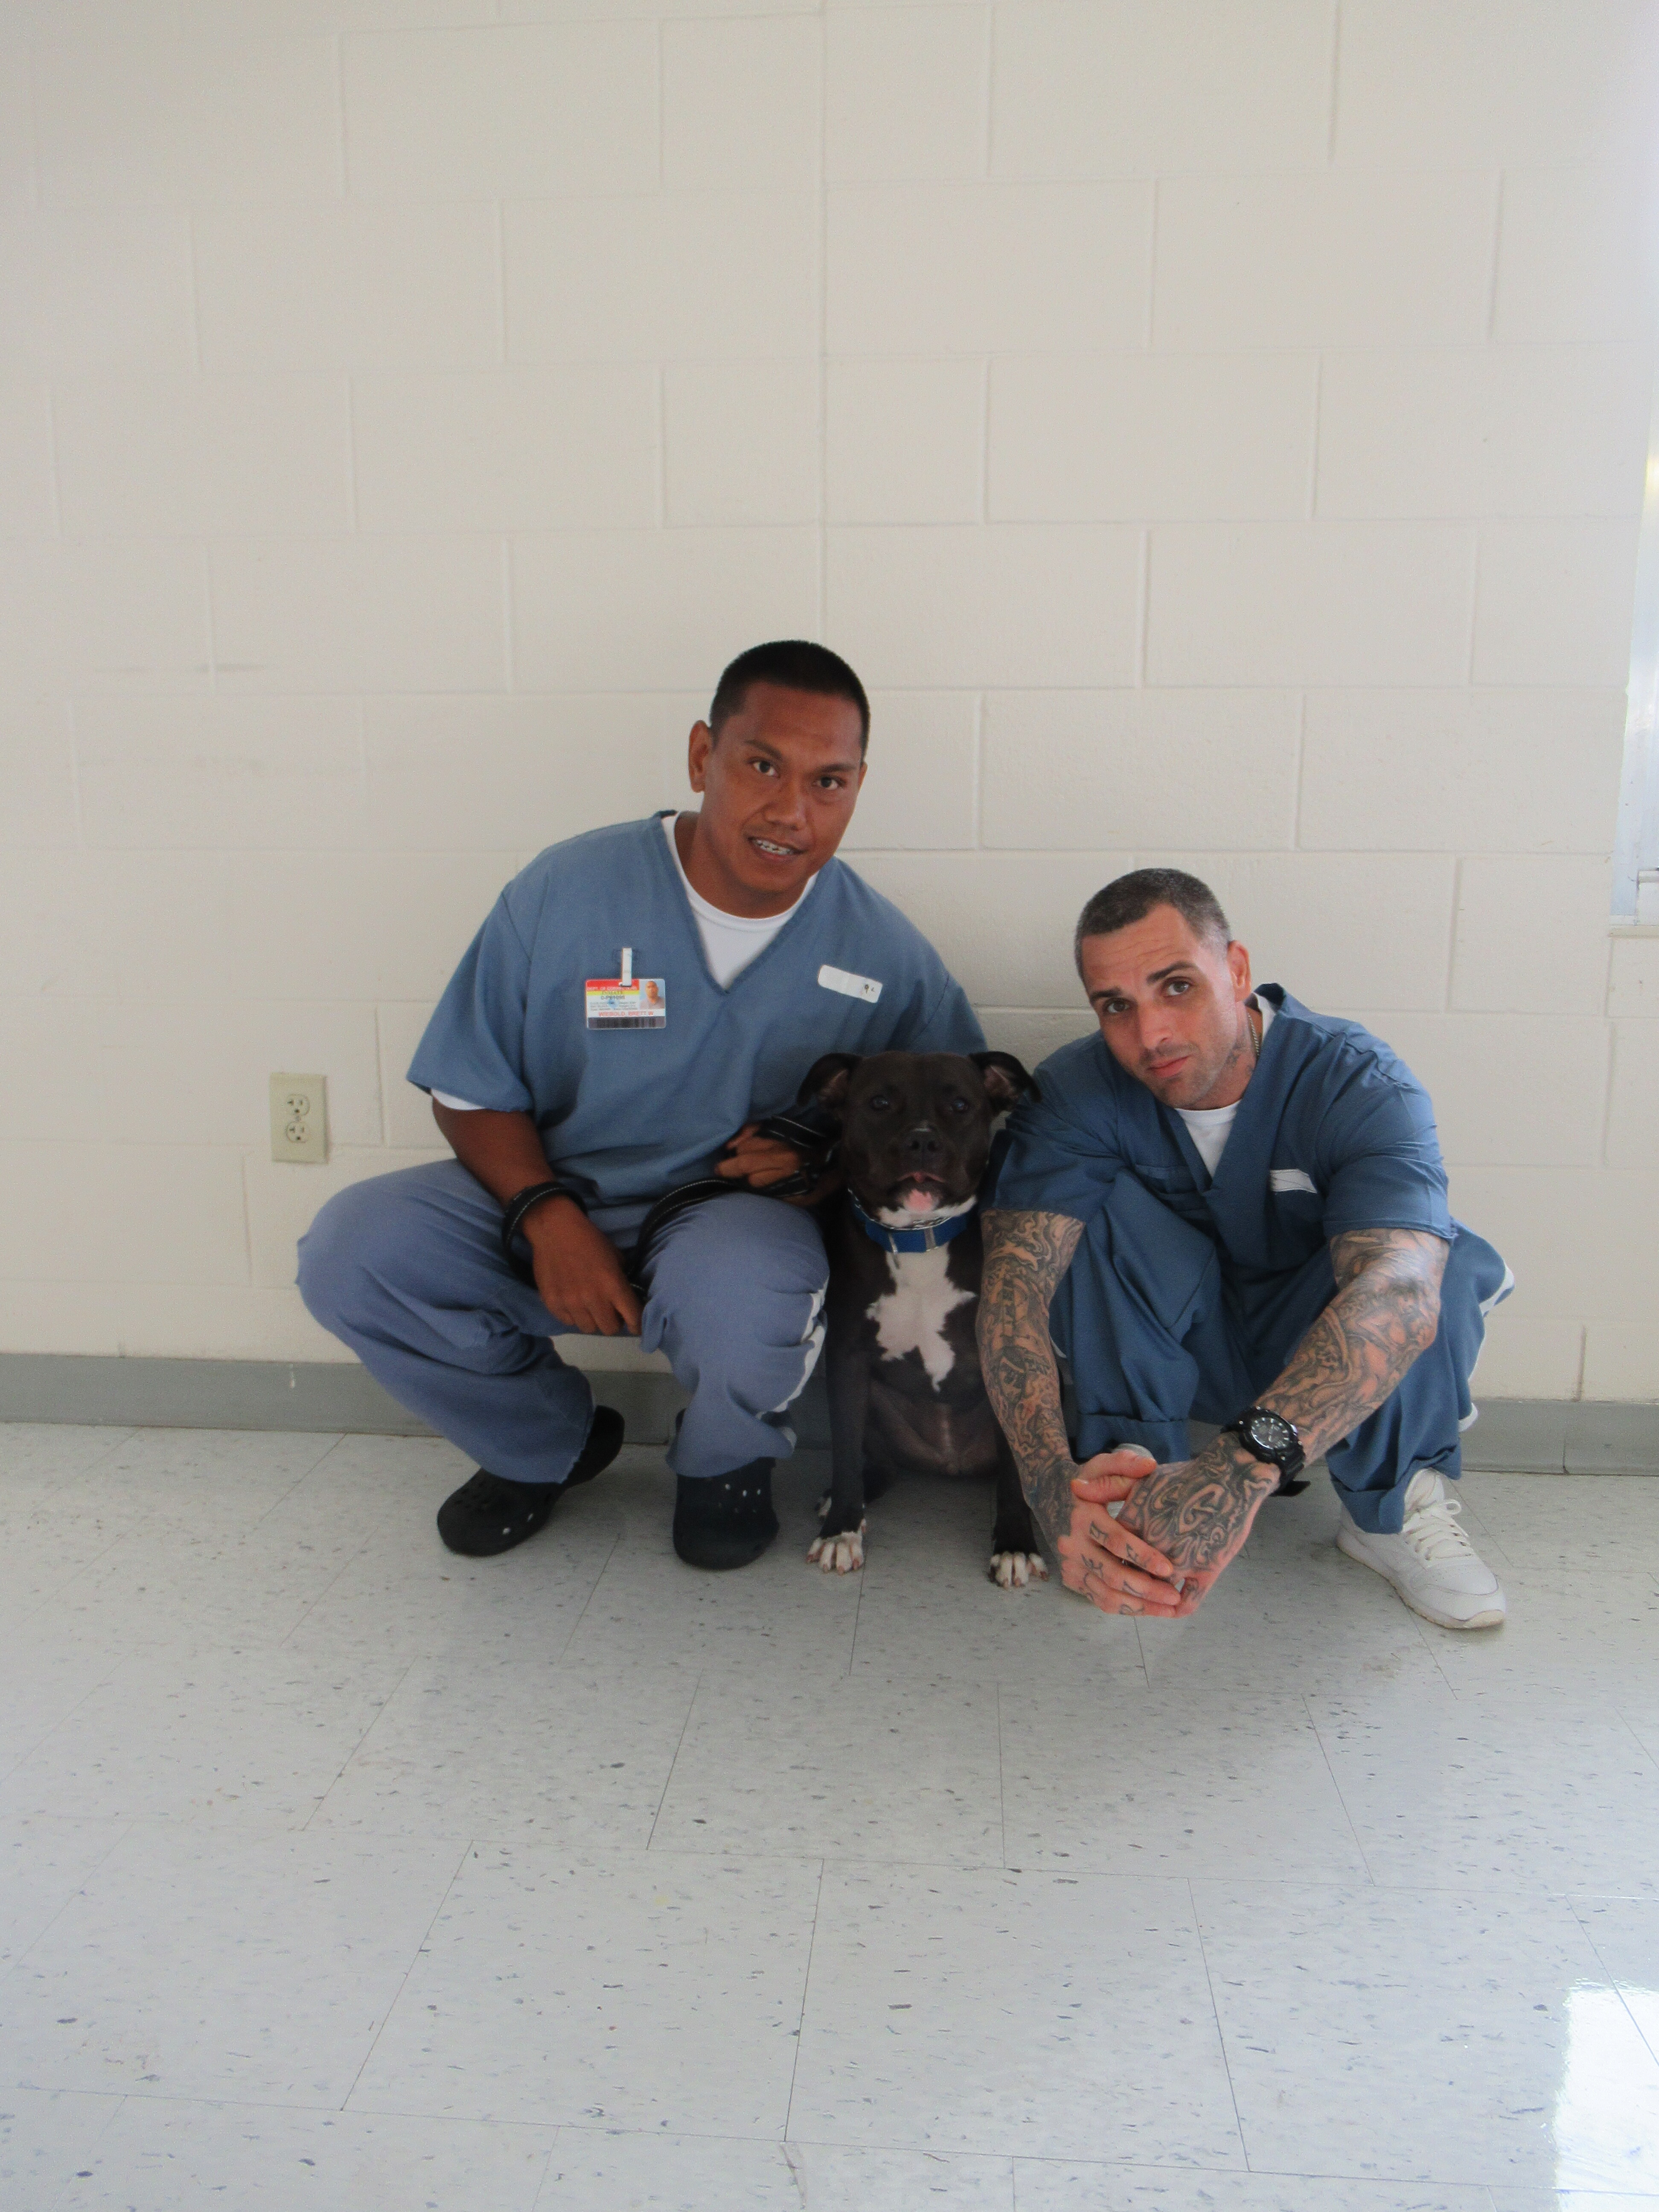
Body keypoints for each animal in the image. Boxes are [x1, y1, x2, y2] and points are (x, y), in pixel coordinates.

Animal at [796, 1053, 1044, 1592]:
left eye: (960, 1105)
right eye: (879, 1102)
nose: (923, 1141)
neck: (918, 1238)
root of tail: (949, 1461)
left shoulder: (1008, 1358)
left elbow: (1015, 1474)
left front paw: (1015, 1544)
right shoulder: (847, 1361)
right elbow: (844, 1453)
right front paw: (841, 1531)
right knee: (875, 1463)